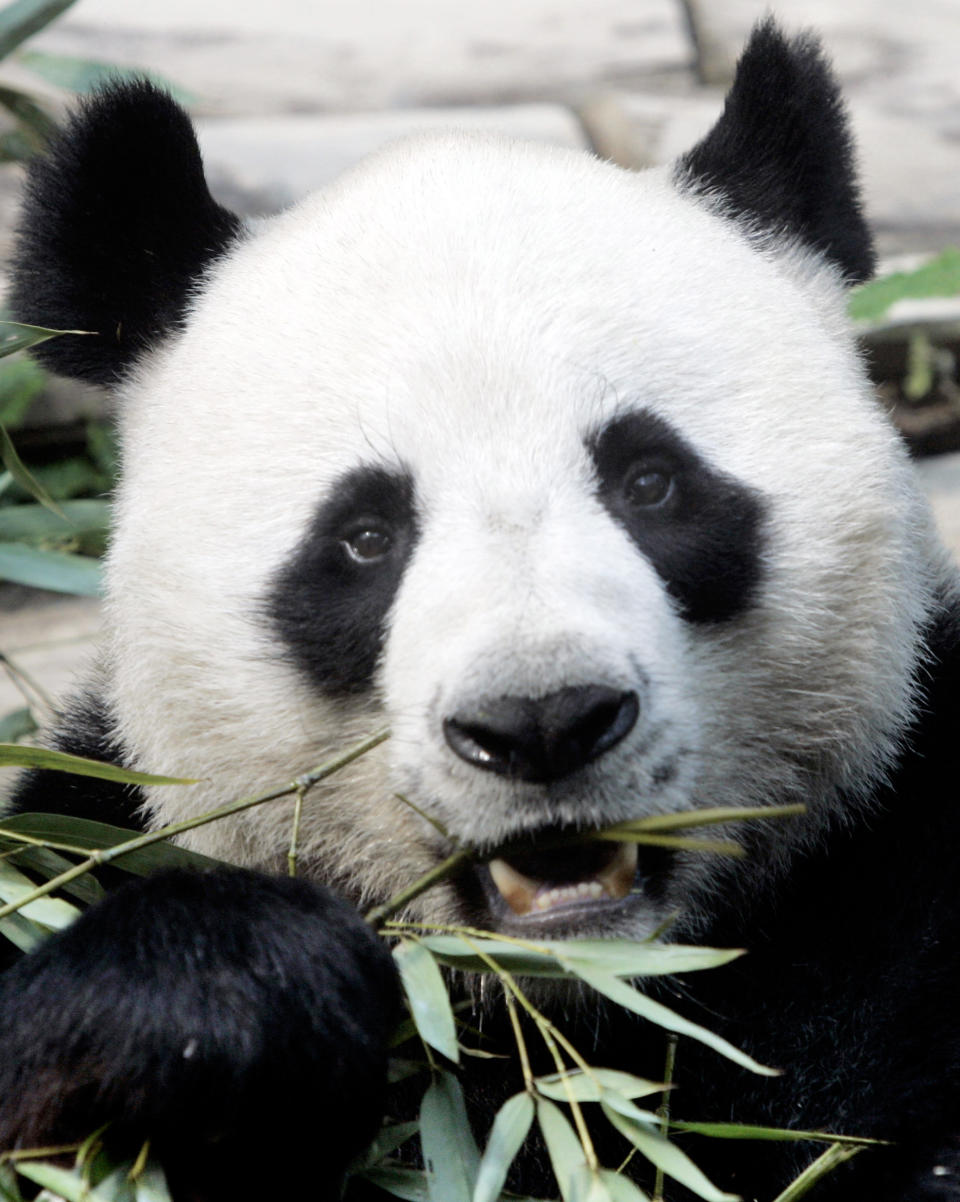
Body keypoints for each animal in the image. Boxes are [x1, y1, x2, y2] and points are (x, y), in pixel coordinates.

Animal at [1, 18, 960, 1202]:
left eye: (651, 481)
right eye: (366, 535)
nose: (542, 722)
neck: (572, 1006)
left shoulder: (898, 853)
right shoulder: (94, 818)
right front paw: (219, 994)